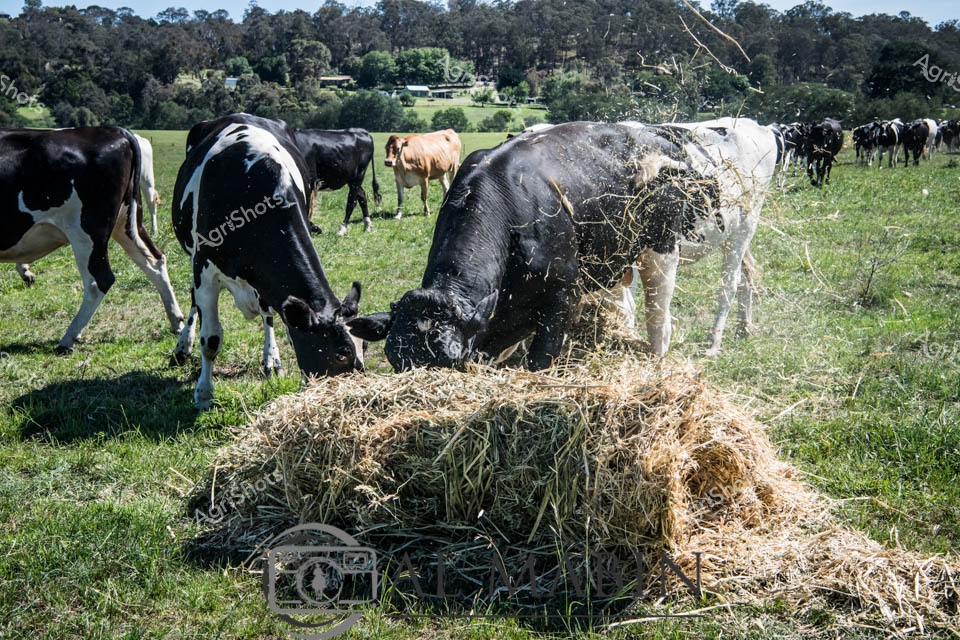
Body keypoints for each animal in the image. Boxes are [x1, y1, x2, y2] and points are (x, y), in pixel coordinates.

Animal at [171, 113, 366, 409]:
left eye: (364, 346)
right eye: (341, 353)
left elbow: (272, 315)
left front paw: (272, 358)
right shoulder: (203, 268)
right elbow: (211, 339)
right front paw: (203, 393)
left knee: (267, 312)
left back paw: (270, 358)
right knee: (194, 304)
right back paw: (183, 346)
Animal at [348, 119, 777, 370]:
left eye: (451, 363)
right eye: (395, 361)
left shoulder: (563, 295)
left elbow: (540, 360)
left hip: (710, 236)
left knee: (696, 300)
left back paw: (705, 344)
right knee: (746, 278)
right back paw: (743, 328)